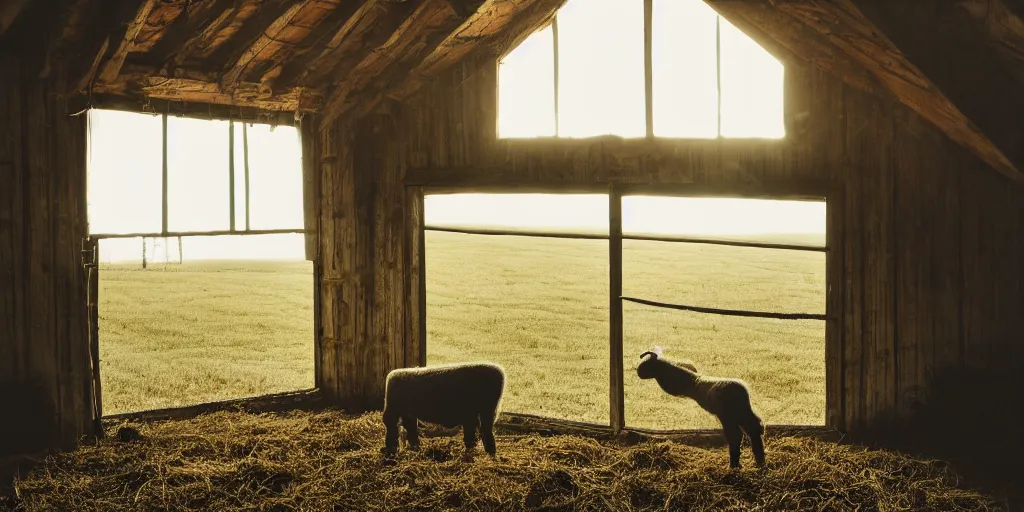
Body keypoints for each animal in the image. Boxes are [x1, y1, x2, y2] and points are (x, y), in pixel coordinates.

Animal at [634, 346, 765, 468]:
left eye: (646, 365)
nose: (638, 373)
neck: (694, 382)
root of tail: (742, 393)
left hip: (729, 415)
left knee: (735, 435)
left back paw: (735, 465)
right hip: (742, 413)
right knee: (755, 428)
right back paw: (758, 462)